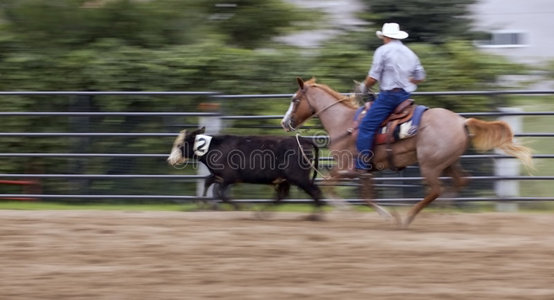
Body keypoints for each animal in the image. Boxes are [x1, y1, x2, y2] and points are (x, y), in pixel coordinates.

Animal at [280, 78, 532, 227]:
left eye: (295, 99)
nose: (284, 122)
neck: (344, 123)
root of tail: (462, 122)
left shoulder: (349, 168)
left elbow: (329, 185)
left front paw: (348, 211)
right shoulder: (366, 172)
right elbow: (367, 196)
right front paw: (383, 214)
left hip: (430, 165)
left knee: (436, 190)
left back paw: (410, 216)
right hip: (448, 162)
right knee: (461, 181)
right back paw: (443, 213)